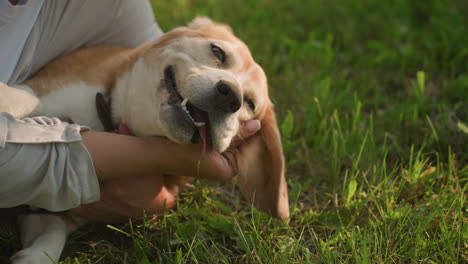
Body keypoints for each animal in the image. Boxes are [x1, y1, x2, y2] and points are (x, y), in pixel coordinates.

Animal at [7, 17, 288, 262]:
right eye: (218, 52)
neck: (115, 124)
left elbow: (51, 236)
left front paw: (30, 257)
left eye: (250, 104)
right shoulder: (45, 88)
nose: (231, 96)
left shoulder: (55, 207)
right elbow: (22, 98)